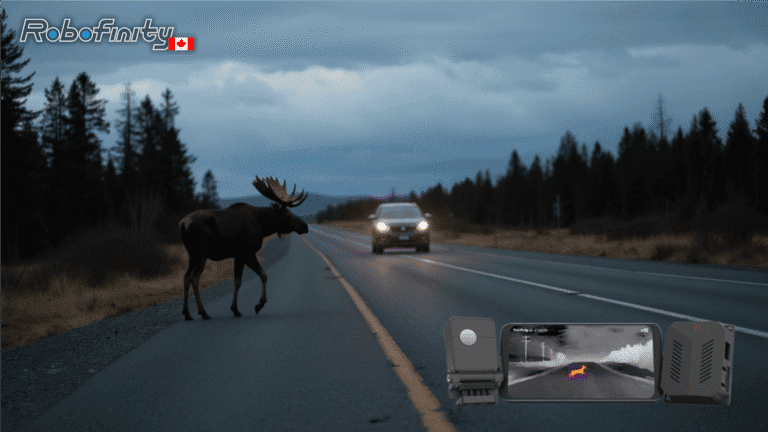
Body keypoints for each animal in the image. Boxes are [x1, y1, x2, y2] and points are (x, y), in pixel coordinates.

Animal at [179, 176, 309, 320]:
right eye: (288, 215)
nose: (305, 226)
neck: (262, 225)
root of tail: (182, 223)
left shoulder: (239, 255)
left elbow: (245, 279)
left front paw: (240, 307)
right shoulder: (246, 253)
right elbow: (255, 277)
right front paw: (251, 306)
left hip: (194, 254)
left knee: (189, 278)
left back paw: (192, 313)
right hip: (199, 254)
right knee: (192, 278)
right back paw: (199, 312)